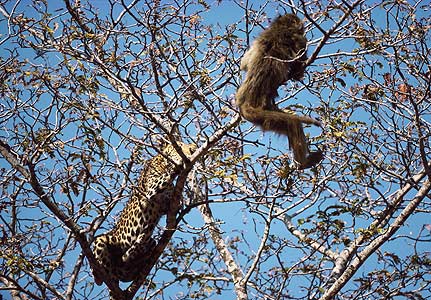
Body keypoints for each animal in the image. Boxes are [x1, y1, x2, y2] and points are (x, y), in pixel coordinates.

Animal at [93, 143, 198, 286]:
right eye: (179, 147)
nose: (191, 151)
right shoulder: (151, 189)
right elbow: (166, 176)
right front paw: (179, 163)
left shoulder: (165, 205)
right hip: (101, 242)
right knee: (107, 275)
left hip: (149, 245)